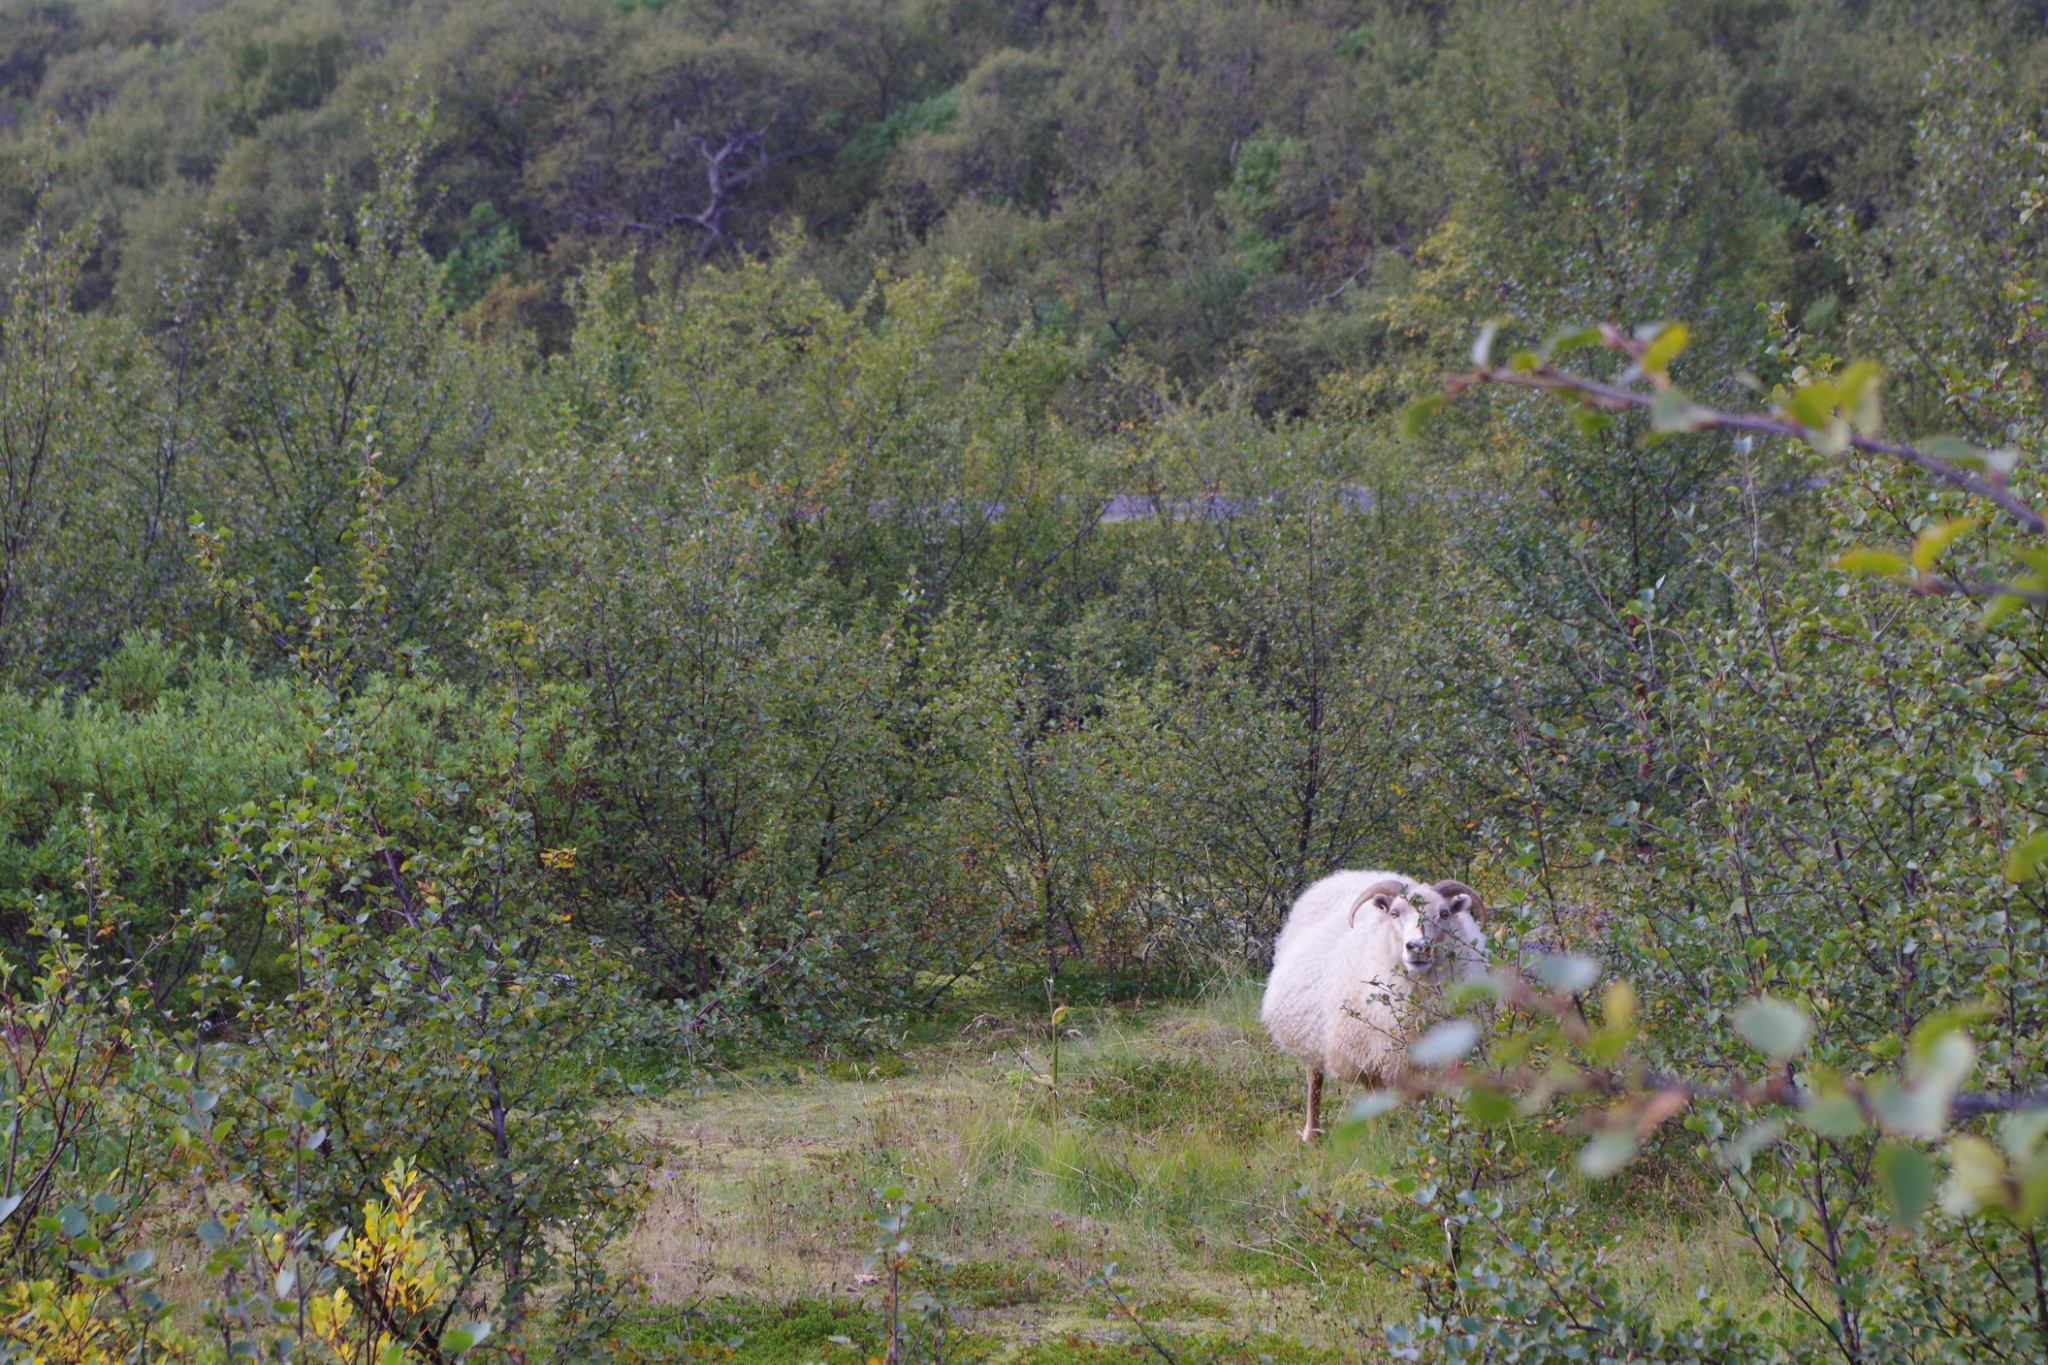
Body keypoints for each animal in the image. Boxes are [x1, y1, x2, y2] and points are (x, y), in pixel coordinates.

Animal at [1245, 875, 1490, 1146]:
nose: (1417, 947)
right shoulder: (1365, 1053)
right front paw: (1378, 1142)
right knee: (1314, 1078)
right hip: (1313, 1029)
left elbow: (1429, 1097)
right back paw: (1312, 1133)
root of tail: (1345, 874)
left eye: (1444, 914)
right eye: (1394, 913)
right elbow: (1375, 1102)